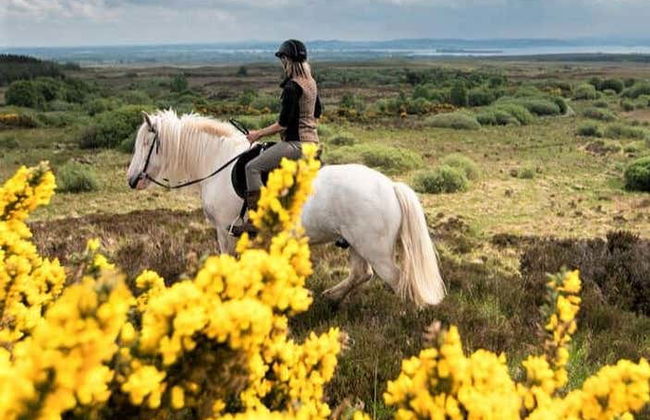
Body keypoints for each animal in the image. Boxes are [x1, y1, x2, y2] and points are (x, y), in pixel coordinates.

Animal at [126, 109, 445, 306]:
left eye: (145, 144)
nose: (131, 180)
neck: (219, 164)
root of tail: (391, 186)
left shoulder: (225, 230)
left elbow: (229, 262)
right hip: (357, 244)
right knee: (361, 274)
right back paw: (330, 298)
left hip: (375, 249)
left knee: (397, 280)